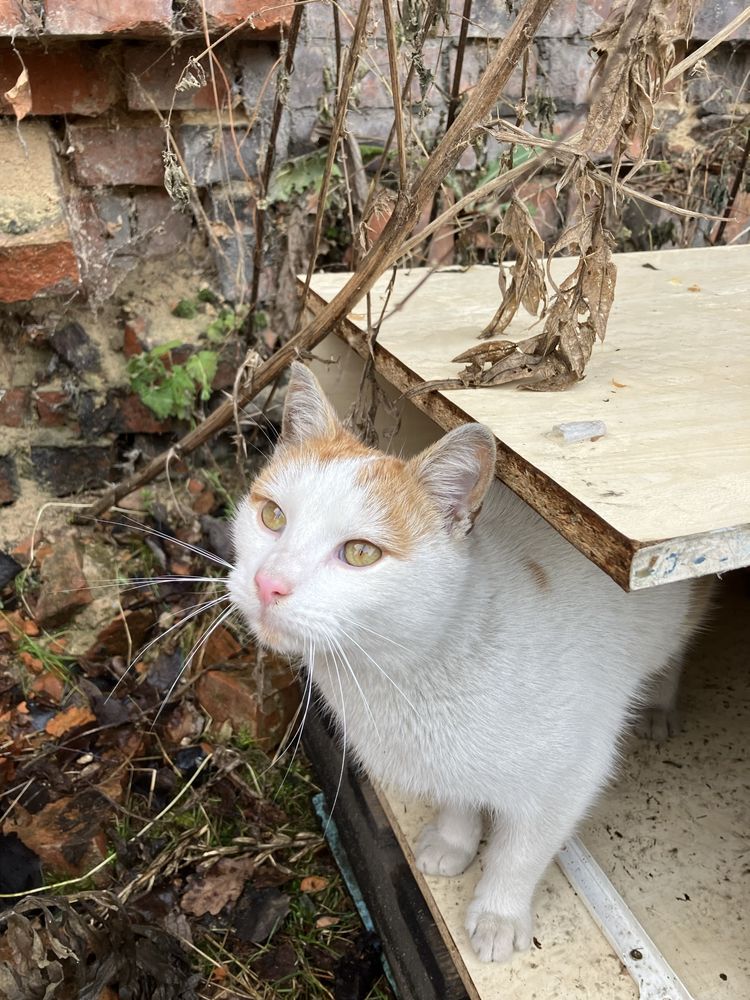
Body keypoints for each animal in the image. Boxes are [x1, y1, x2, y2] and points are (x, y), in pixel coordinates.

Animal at [229, 360, 712, 960]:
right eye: (272, 516)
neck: (406, 676)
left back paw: (660, 708)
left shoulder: (569, 776)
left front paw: (499, 914)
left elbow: (520, 852)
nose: (268, 583)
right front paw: (454, 843)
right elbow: (459, 796)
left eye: (361, 553)